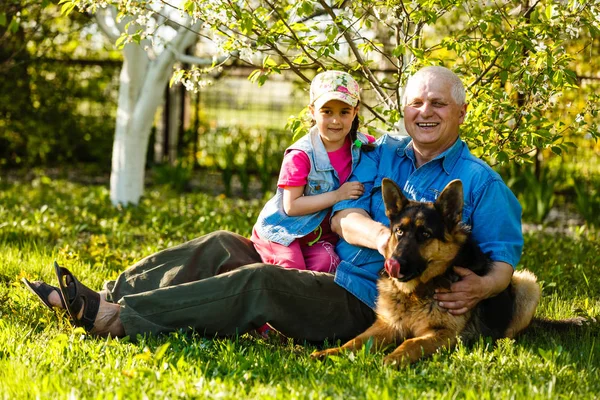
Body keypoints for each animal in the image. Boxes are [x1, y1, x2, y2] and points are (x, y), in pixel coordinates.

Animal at [312, 180, 540, 368]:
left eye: (425, 234)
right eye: (399, 231)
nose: (393, 263)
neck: (415, 292)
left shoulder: (444, 334)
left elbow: (411, 343)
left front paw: (394, 358)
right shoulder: (388, 326)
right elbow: (355, 341)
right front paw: (331, 352)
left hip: (528, 284)